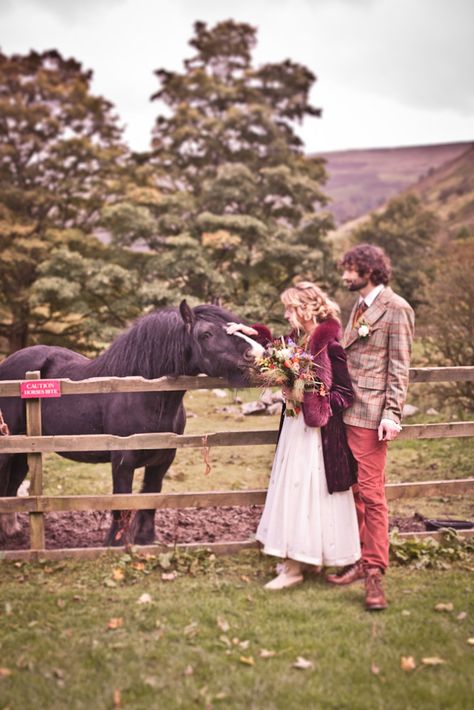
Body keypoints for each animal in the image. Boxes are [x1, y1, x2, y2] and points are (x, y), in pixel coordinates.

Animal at [0, 304, 260, 548]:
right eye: (206, 334)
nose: (255, 354)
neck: (144, 394)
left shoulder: (163, 460)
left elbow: (150, 497)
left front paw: (146, 540)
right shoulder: (123, 461)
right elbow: (122, 502)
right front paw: (115, 543)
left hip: (24, 450)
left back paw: (12, 530)